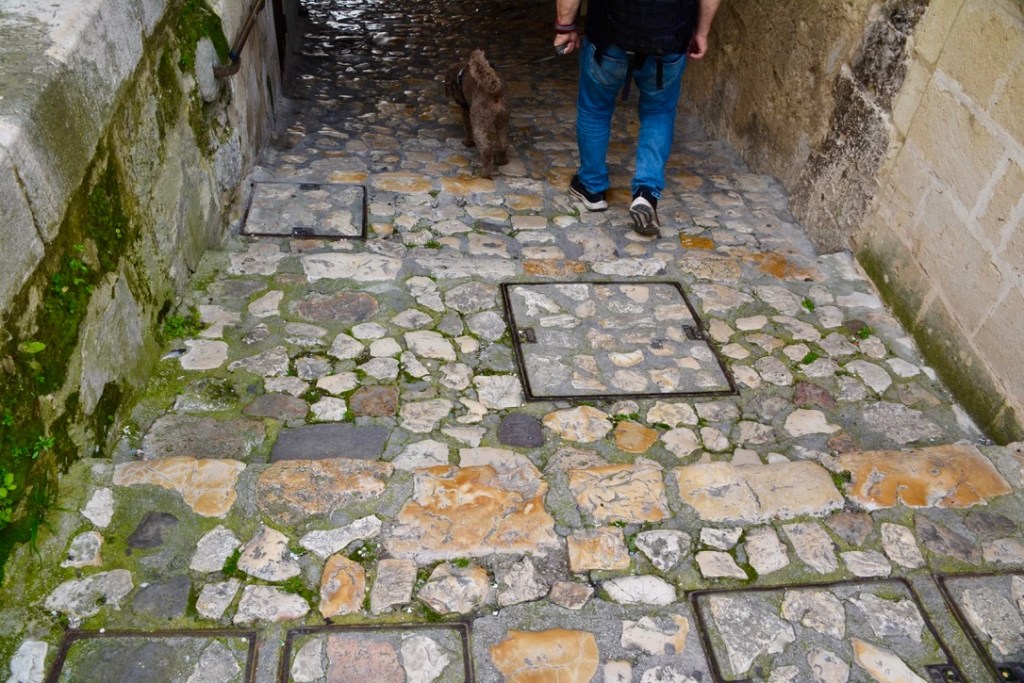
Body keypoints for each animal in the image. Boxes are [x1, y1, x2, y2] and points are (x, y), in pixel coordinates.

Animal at [445, 49, 510, 179]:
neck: (460, 74)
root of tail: (495, 89)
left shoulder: (466, 109)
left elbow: (467, 127)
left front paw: (467, 142)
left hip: (479, 124)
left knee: (486, 151)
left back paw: (485, 174)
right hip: (502, 122)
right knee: (504, 143)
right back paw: (502, 161)